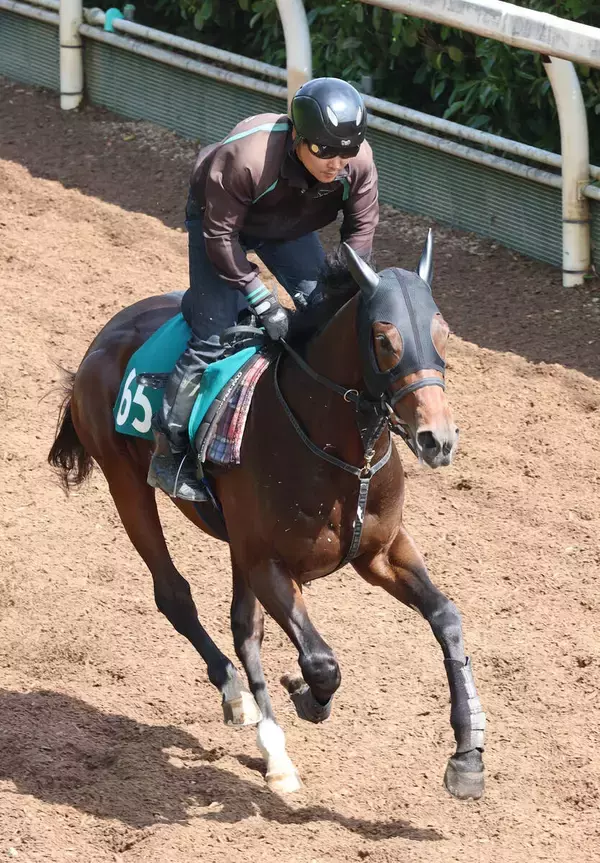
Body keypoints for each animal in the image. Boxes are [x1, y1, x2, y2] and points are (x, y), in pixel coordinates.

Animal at [48, 236, 486, 799]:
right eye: (384, 339)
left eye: (442, 333)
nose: (438, 438)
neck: (342, 455)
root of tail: (105, 336)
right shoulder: (268, 563)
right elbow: (320, 661)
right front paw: (305, 694)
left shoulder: (381, 552)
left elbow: (446, 617)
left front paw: (468, 754)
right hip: (127, 484)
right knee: (175, 596)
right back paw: (242, 700)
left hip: (235, 541)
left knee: (243, 626)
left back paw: (268, 739)